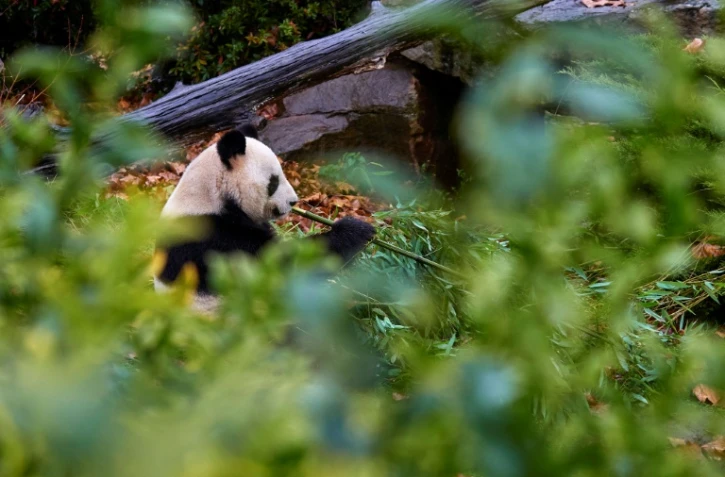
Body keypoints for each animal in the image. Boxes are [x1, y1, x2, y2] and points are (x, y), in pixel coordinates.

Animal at [153, 125, 376, 313]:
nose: (293, 202)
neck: (210, 194)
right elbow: (282, 264)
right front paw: (354, 230)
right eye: (273, 181)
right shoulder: (215, 238)